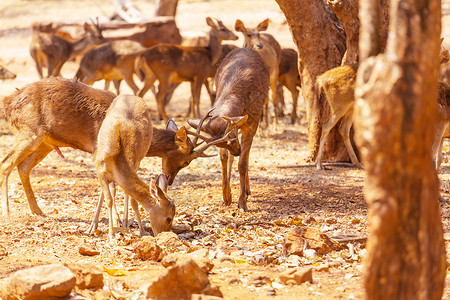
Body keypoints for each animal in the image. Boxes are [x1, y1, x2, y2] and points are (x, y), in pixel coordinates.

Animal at [94, 95, 174, 240]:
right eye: (169, 218)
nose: (164, 234)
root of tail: (129, 95)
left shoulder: (135, 163)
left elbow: (133, 201)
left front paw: (141, 231)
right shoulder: (99, 168)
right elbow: (108, 198)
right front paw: (111, 234)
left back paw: (125, 223)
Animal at [187, 47, 268, 211]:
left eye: (233, 138)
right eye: (228, 140)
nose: (236, 151)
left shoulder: (252, 122)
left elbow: (242, 164)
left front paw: (242, 202)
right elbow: (223, 157)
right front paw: (226, 196)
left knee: (246, 157)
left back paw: (247, 191)